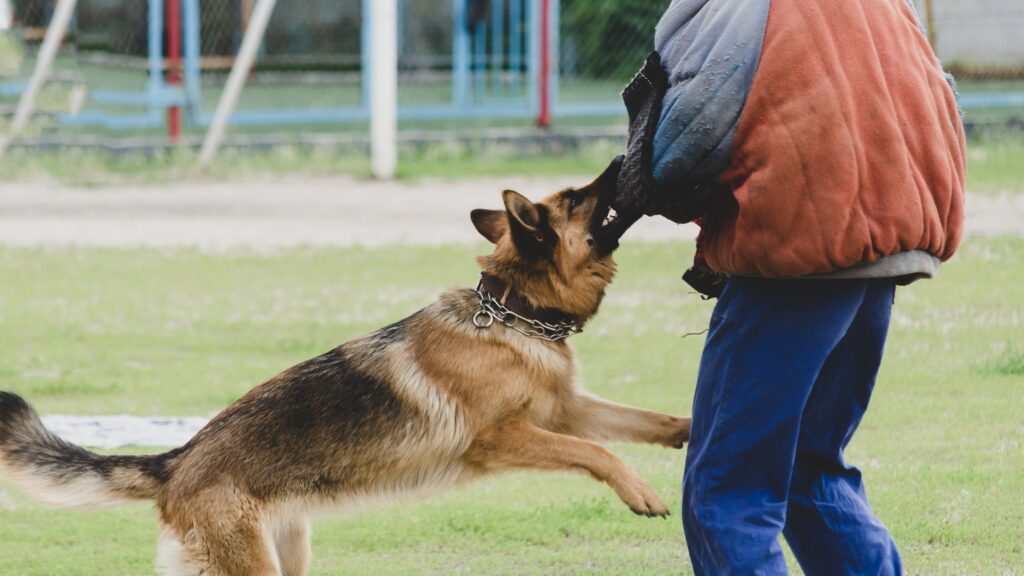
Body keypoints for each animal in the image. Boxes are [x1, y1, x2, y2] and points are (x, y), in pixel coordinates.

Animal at [0, 157, 692, 573]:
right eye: (578, 197)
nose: (622, 162)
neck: (512, 314)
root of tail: (175, 462)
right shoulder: (505, 437)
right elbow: (597, 452)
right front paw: (642, 491)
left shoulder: (565, 410)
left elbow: (641, 421)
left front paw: (688, 430)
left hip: (290, 552)